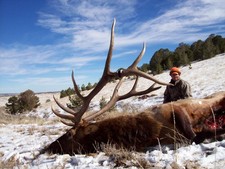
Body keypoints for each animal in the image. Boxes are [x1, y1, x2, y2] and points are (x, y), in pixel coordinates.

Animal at [44, 19, 225, 154]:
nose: (48, 147)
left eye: (68, 134)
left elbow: (194, 133)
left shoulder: (173, 110)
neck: (144, 131)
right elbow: (197, 134)